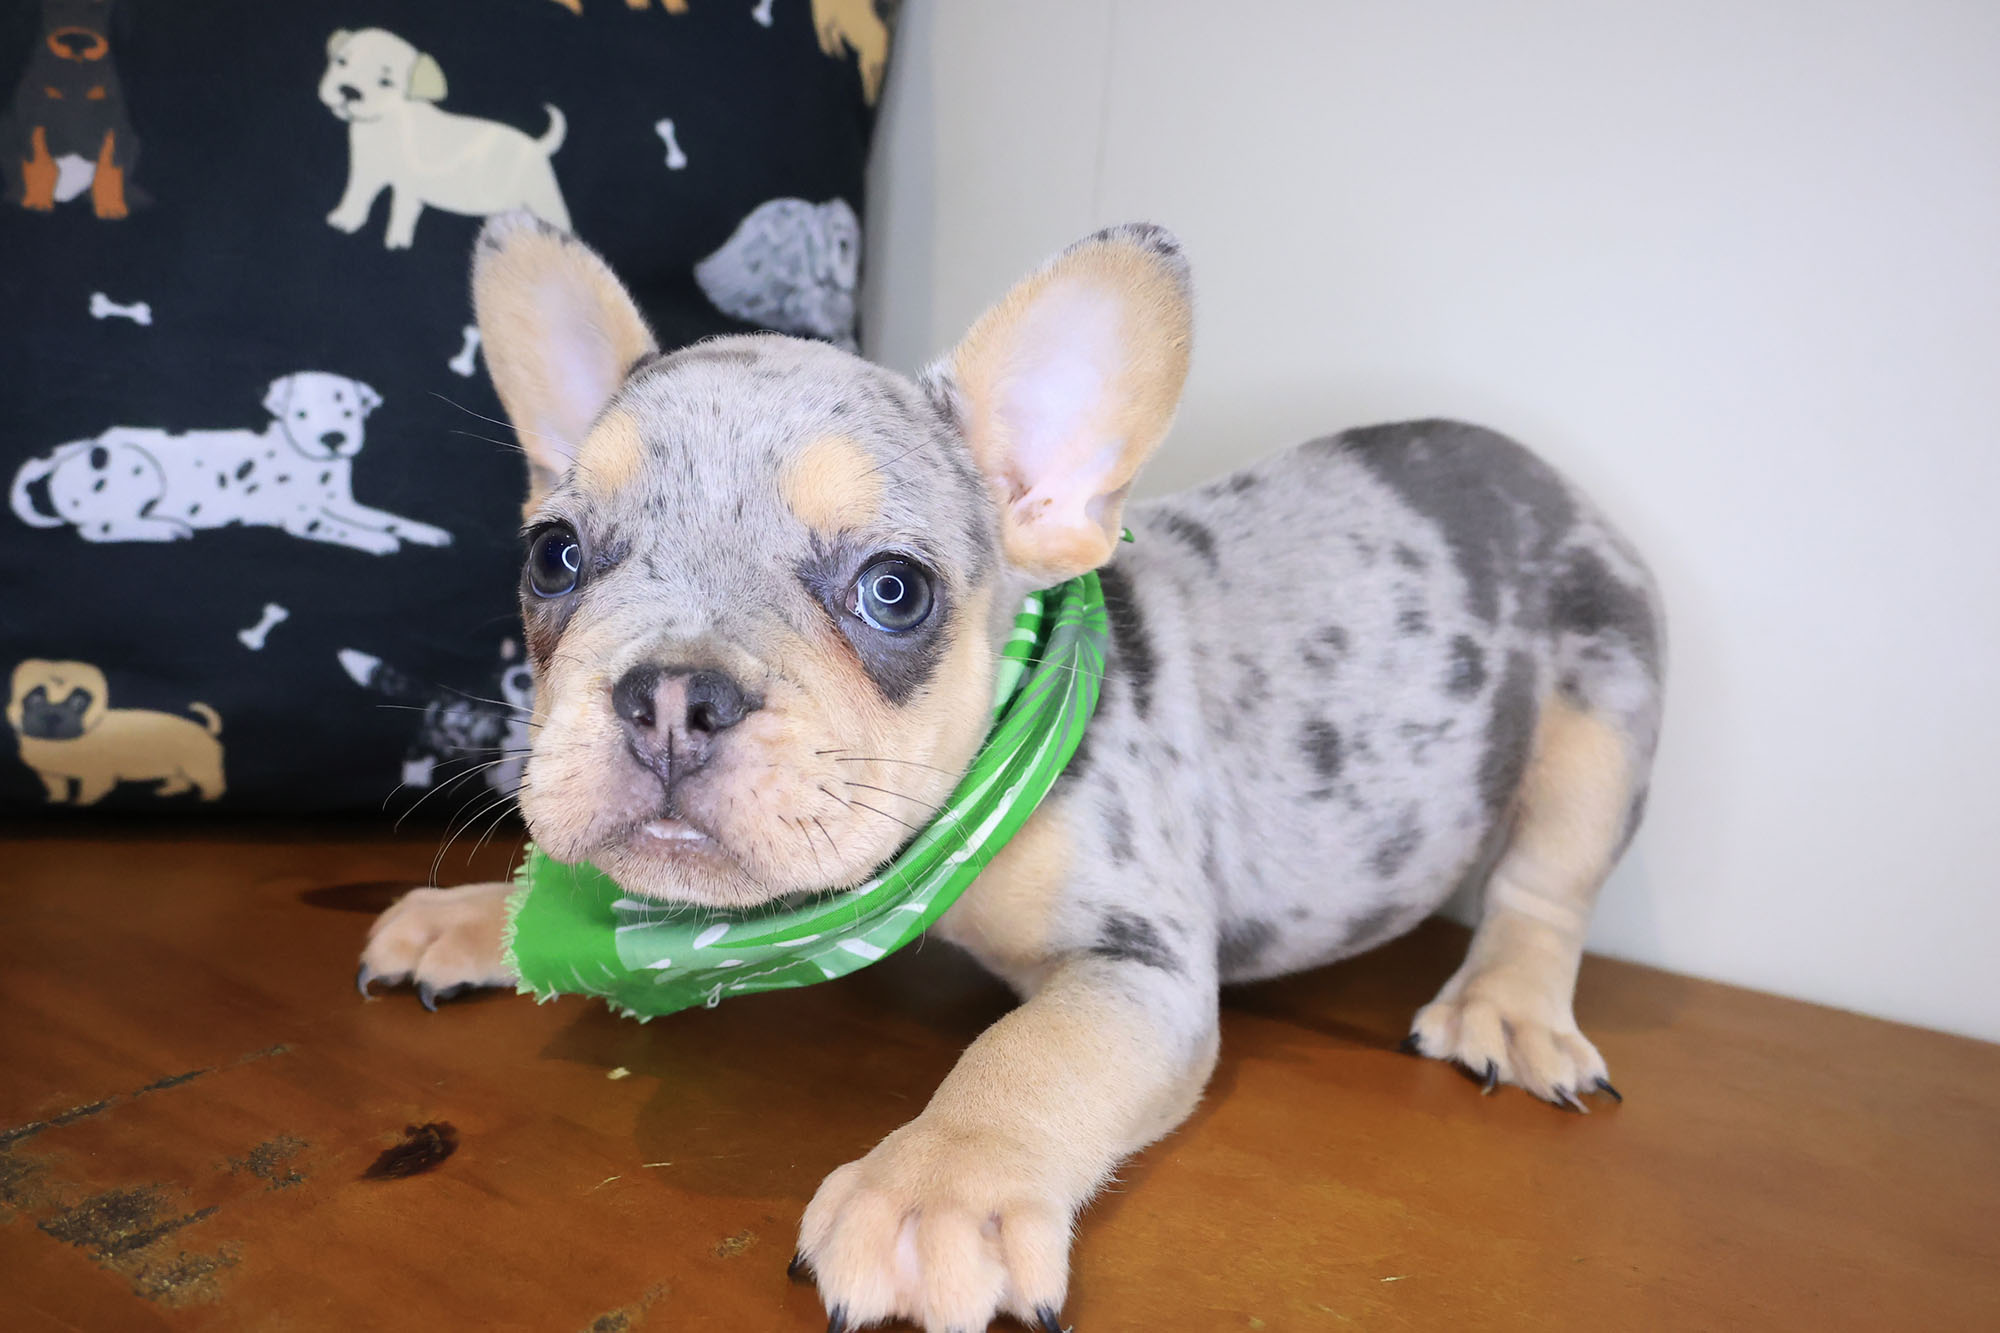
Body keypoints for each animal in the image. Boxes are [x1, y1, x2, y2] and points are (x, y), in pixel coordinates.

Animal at [1, 0, 144, 219]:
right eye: (52, 5)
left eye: (101, 6)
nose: (77, 41)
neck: (75, 75)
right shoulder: (33, 117)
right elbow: (39, 163)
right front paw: (36, 202)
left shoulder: (113, 121)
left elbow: (110, 166)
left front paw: (111, 207)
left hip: (132, 140)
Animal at [9, 371, 452, 554]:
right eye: (302, 413)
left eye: (349, 412)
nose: (334, 438)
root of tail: (80, 447)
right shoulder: (306, 518)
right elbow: (345, 530)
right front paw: (376, 541)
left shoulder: (344, 503)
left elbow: (387, 518)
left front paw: (426, 532)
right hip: (139, 471)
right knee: (98, 529)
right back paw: (164, 528)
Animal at [9, 659, 224, 804]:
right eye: (34, 699)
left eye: (78, 702)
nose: (52, 715)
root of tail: (205, 730)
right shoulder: (51, 775)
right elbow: (58, 788)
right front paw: (57, 800)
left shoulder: (97, 777)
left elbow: (88, 793)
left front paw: (80, 803)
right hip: (179, 767)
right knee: (181, 781)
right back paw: (167, 791)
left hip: (199, 767)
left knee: (213, 783)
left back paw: (208, 798)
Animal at [319, 27, 570, 251]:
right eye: (342, 62)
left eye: (386, 82)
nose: (349, 91)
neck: (386, 123)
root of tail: (538, 147)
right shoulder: (366, 173)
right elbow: (356, 196)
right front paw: (345, 219)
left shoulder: (408, 186)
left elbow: (402, 209)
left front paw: (397, 240)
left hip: (543, 198)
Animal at [359, 216, 1665, 1331]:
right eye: (553, 555)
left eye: (893, 589)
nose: (672, 695)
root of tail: (1528, 469)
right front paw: (478, 917)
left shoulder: (1135, 964)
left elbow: (1024, 1054)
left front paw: (934, 1192)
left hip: (1602, 704)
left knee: (1545, 885)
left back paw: (1507, 1006)